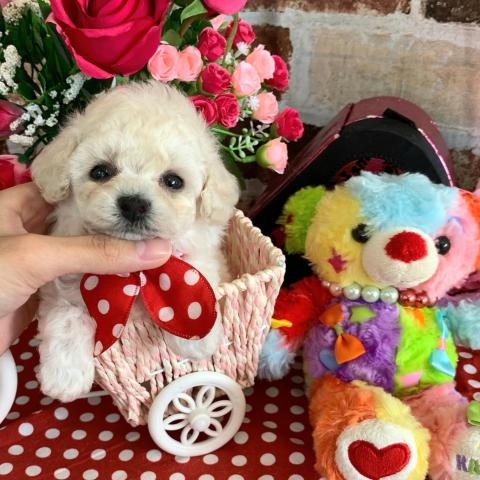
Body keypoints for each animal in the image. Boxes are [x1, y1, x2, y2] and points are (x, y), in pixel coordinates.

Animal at [31, 82, 240, 402]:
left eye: (174, 181)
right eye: (100, 172)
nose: (133, 204)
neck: (135, 275)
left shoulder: (197, 254)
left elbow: (196, 277)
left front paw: (196, 339)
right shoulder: (63, 280)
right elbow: (65, 314)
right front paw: (64, 378)